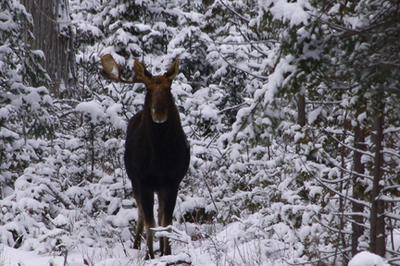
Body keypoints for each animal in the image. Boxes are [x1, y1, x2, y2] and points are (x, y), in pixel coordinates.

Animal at [99, 54, 188, 258]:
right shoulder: (143, 181)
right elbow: (150, 223)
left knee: (159, 214)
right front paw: (149, 255)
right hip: (135, 181)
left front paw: (167, 253)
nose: (159, 112)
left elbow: (166, 222)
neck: (159, 157)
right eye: (148, 88)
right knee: (140, 212)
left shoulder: (172, 182)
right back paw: (136, 245)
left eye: (169, 88)